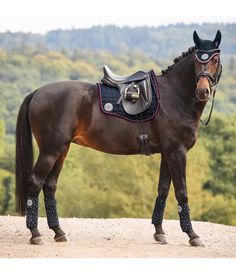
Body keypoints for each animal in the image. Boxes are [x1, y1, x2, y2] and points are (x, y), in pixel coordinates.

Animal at [15, 30, 222, 246]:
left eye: (215, 59)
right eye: (198, 60)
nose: (203, 91)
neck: (172, 97)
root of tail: (37, 92)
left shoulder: (168, 153)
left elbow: (163, 190)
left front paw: (159, 232)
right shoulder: (177, 152)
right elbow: (182, 192)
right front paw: (192, 235)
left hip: (61, 151)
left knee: (49, 186)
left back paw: (58, 232)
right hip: (50, 150)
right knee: (35, 183)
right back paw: (35, 234)